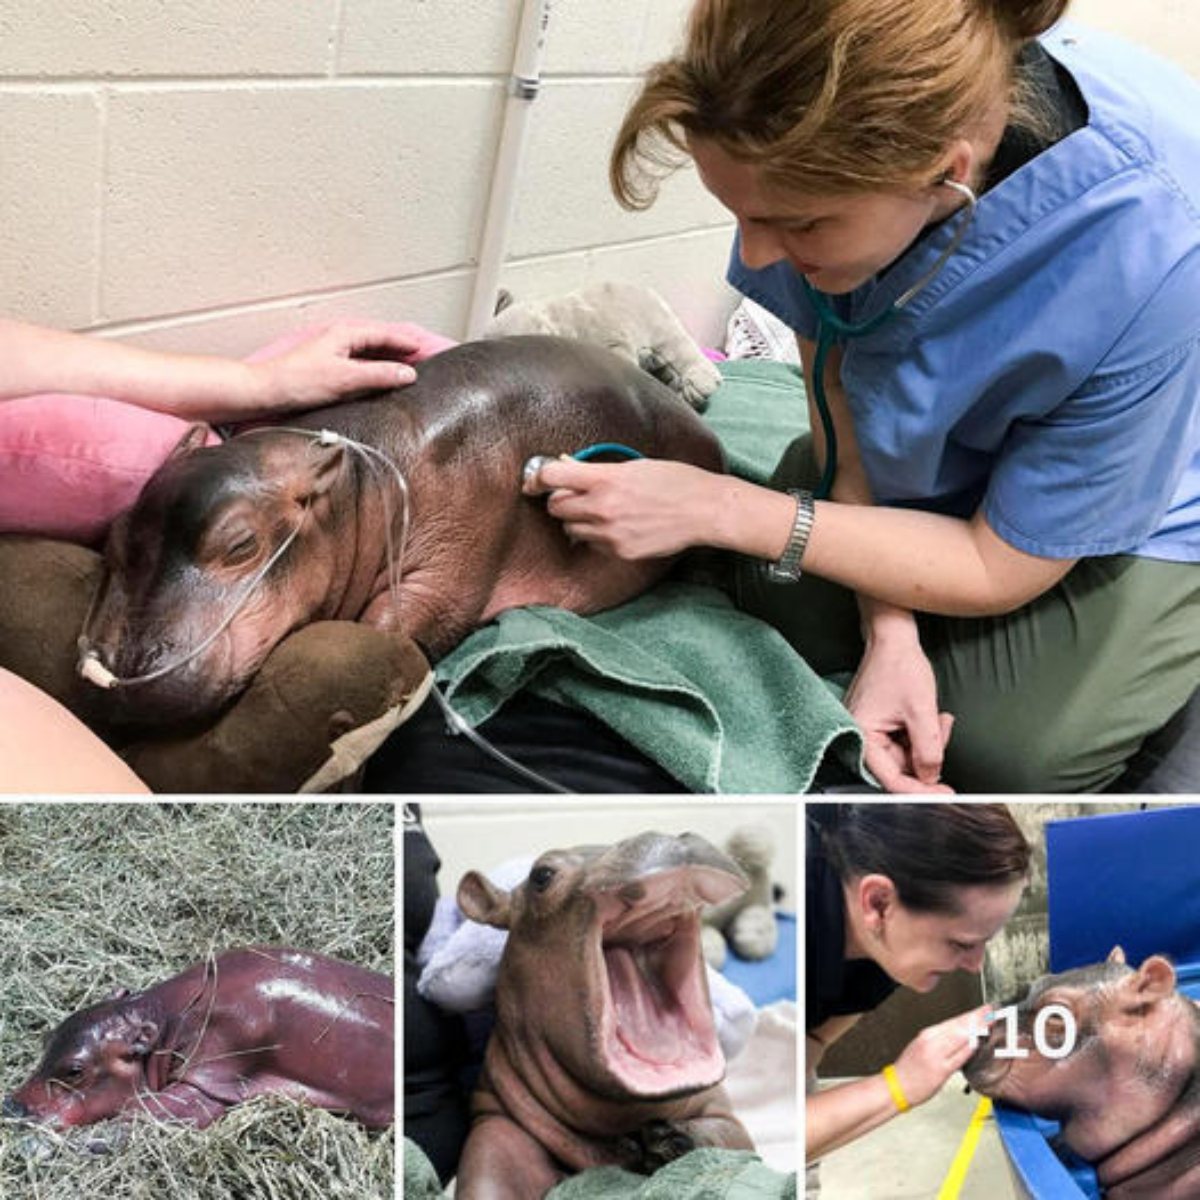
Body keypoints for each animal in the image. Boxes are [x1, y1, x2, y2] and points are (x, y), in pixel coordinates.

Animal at [84, 333, 724, 720]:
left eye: (241, 542)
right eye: (114, 537)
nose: (125, 668)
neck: (358, 481)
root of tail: (706, 433)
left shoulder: (450, 565)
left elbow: (396, 621)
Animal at [453, 830, 753, 1200]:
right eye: (541, 875)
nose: (671, 836)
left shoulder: (722, 1111)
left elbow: (729, 1137)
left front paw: (668, 1139)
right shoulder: (495, 1128)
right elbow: (490, 1176)